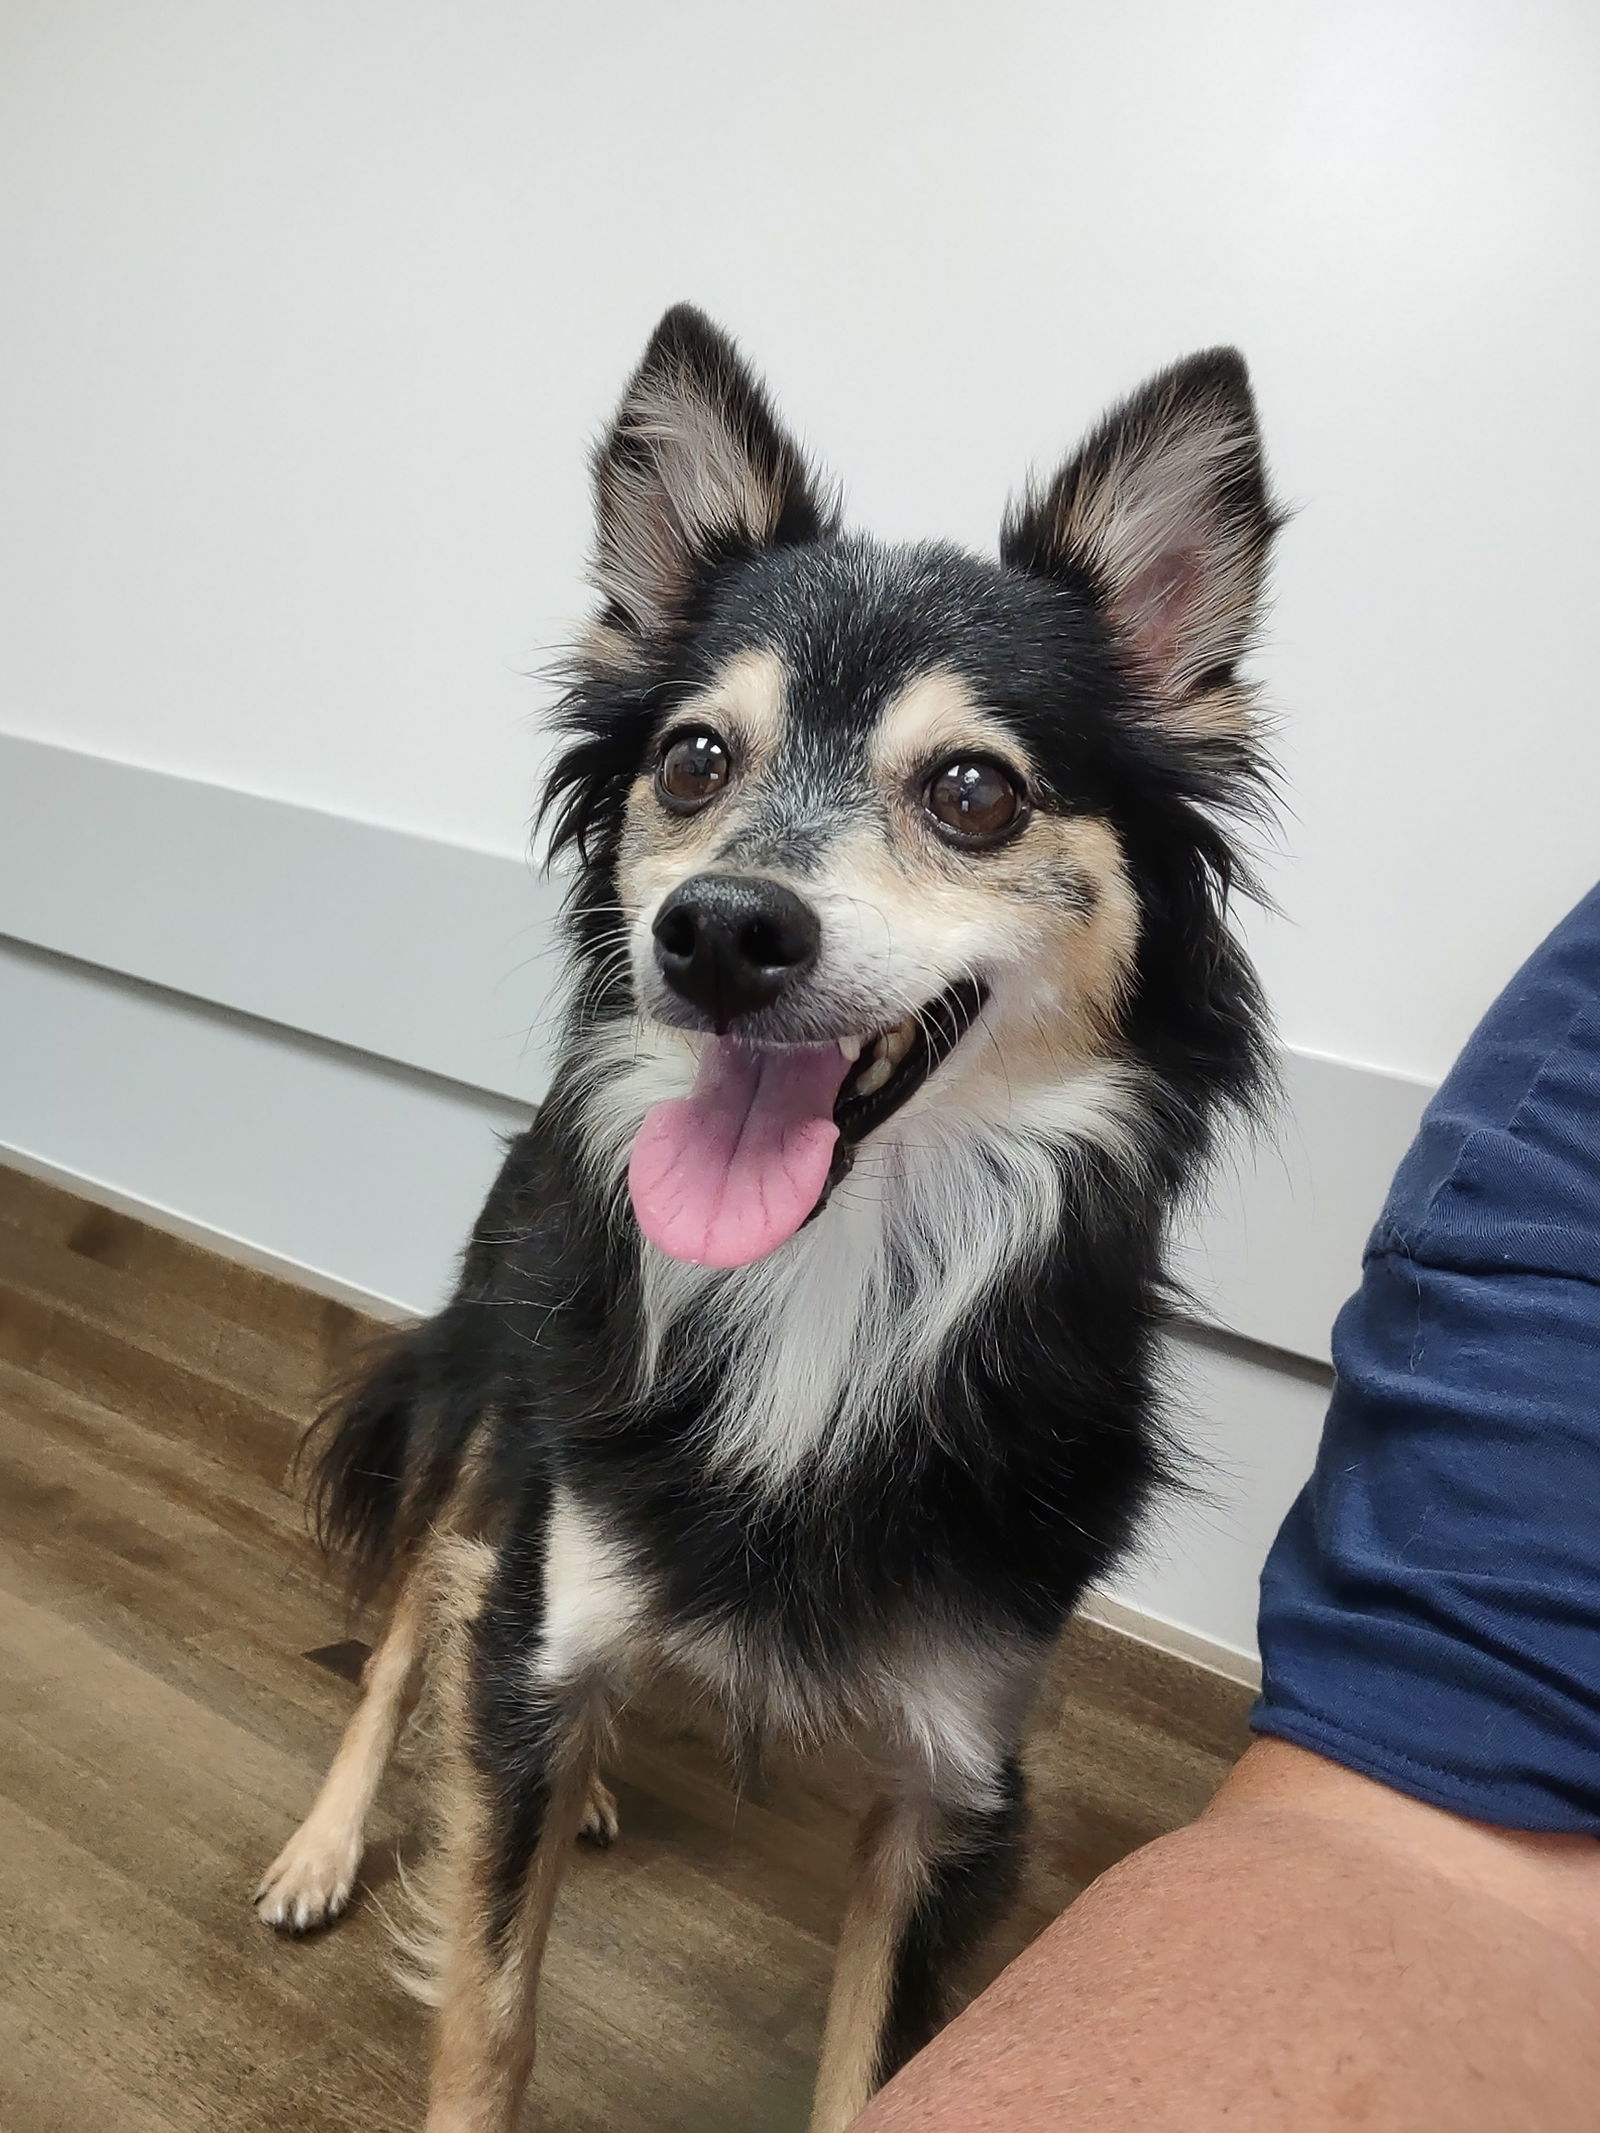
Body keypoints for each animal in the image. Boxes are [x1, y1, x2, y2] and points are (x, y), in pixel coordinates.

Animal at [253, 305, 1280, 2133]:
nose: (717, 930)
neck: (828, 1270)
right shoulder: (543, 1597)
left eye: (974, 791)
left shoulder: (957, 1775)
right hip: (496, 1404)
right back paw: (332, 1835)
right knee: (426, 1608)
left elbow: (877, 2062)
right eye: (691, 759)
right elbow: (489, 2003)